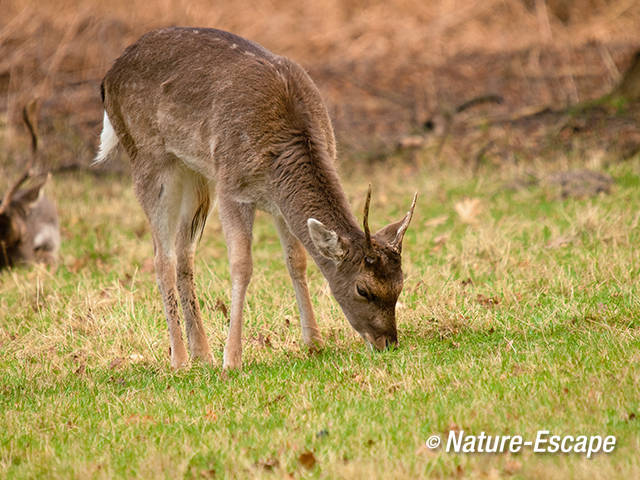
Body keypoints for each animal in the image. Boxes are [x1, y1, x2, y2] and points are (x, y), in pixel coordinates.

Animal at [94, 28, 416, 370]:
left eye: (400, 285)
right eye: (363, 289)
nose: (388, 343)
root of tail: (107, 77)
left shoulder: (278, 202)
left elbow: (296, 260)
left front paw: (314, 343)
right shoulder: (233, 187)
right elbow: (242, 265)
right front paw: (232, 359)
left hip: (196, 173)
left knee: (183, 253)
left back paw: (202, 354)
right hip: (148, 158)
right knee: (160, 256)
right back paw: (180, 360)